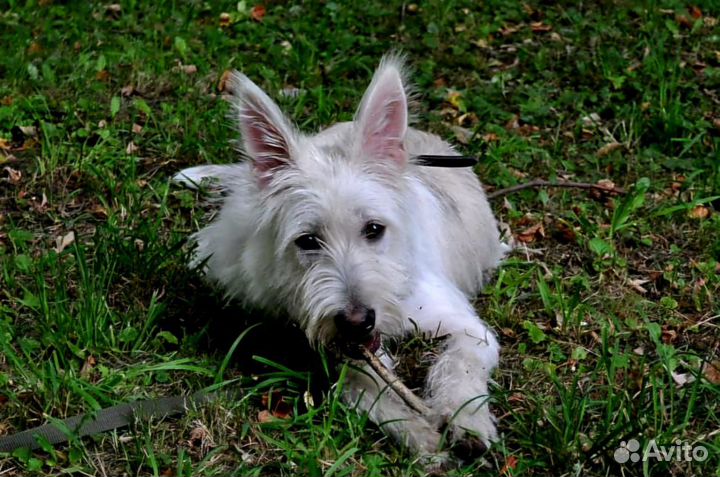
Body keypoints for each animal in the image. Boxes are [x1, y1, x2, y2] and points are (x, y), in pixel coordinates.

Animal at [175, 54, 506, 462]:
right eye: (307, 241)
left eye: (374, 229)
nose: (357, 321)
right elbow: (362, 382)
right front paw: (416, 432)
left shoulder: (466, 327)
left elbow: (461, 364)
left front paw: (467, 420)